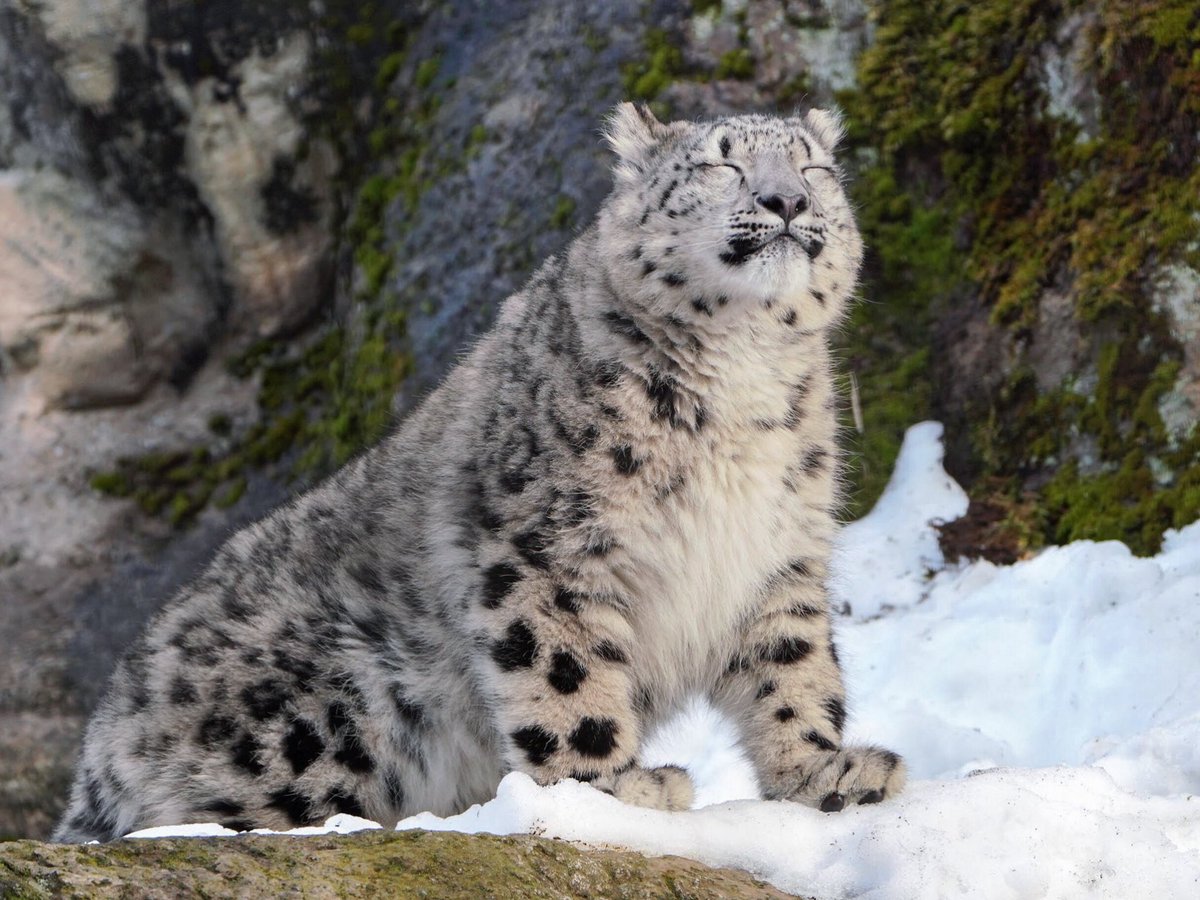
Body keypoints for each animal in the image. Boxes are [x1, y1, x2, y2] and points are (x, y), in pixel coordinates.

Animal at [54, 105, 902, 844]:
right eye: (721, 163)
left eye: (814, 166)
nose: (786, 199)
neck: (742, 378)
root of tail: (98, 749)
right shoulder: (549, 548)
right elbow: (565, 674)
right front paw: (613, 789)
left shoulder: (779, 551)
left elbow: (794, 667)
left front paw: (825, 772)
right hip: (324, 712)